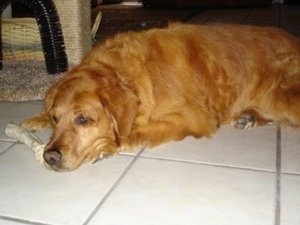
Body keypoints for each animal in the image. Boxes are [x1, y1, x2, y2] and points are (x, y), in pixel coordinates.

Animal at [21, 23, 300, 171]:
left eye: (83, 119)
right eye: (55, 118)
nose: (49, 157)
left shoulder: (195, 117)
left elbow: (132, 133)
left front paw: (105, 147)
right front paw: (34, 119)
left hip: (281, 94)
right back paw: (248, 116)